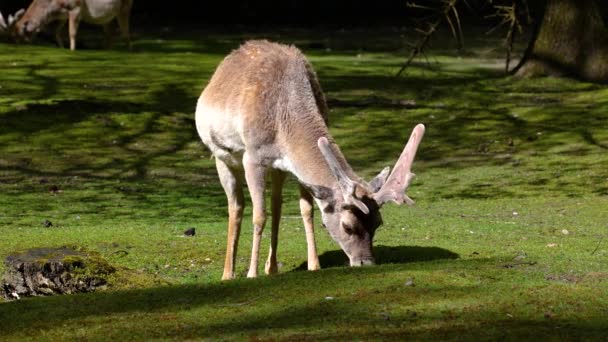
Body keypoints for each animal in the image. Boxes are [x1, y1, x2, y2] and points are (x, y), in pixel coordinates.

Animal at [197, 40, 426, 280]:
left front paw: (314, 265)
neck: (283, 122)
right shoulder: (253, 157)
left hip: (276, 170)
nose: (366, 262)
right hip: (222, 156)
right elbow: (259, 215)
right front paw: (252, 273)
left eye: (378, 223)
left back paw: (272, 267)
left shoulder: (290, 166)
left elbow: (307, 210)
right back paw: (228, 273)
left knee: (276, 204)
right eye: (347, 226)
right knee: (236, 205)